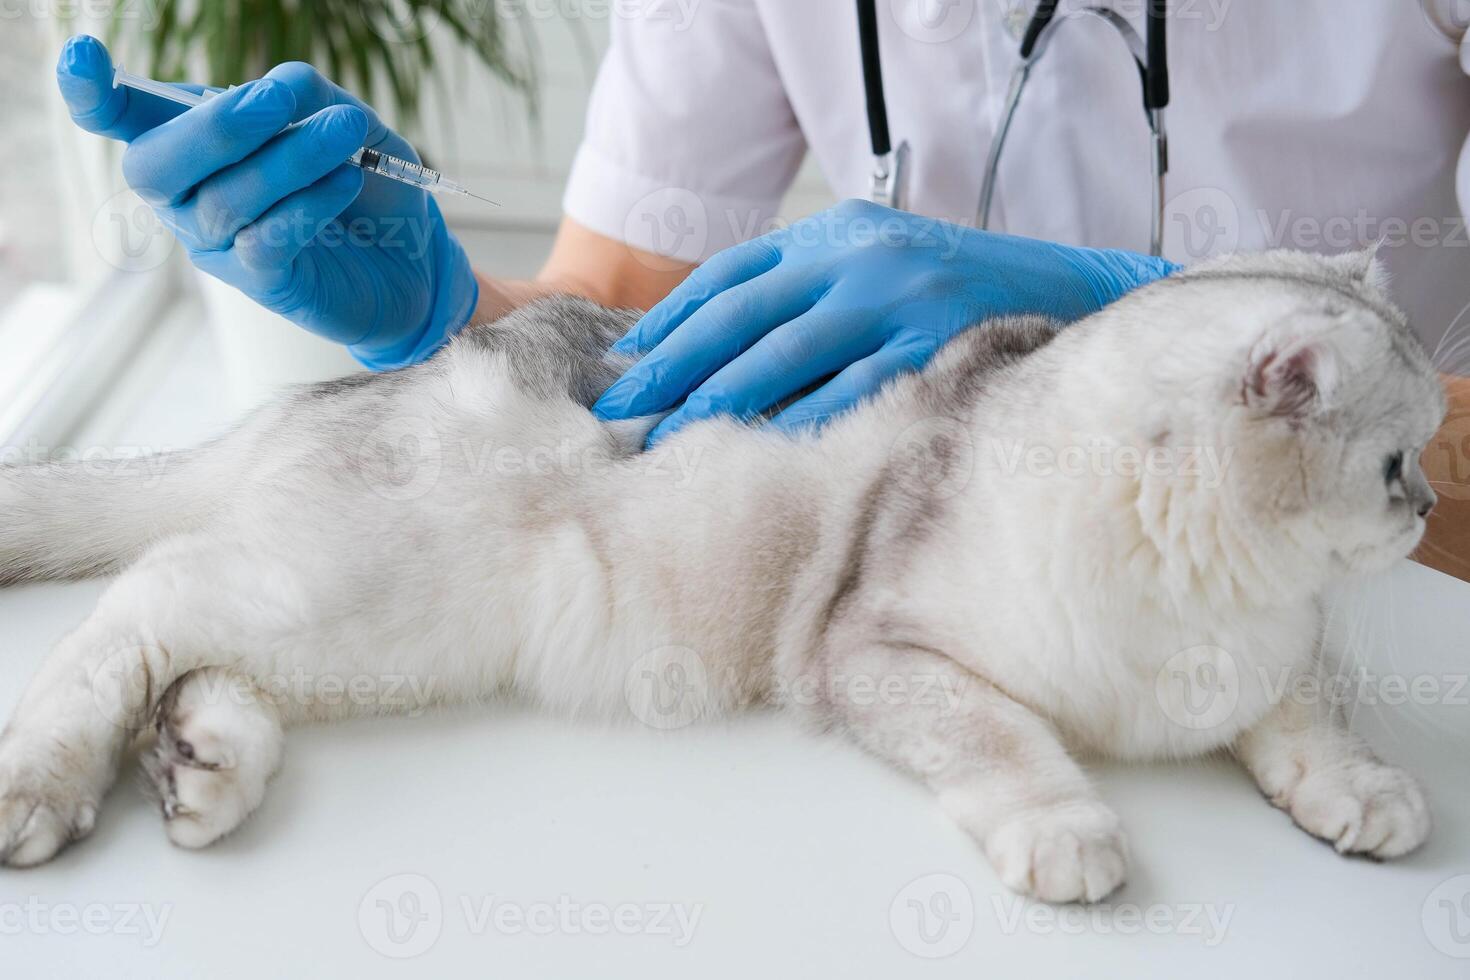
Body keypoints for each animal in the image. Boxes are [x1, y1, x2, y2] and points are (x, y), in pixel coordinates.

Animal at [0, 246, 1446, 905]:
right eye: (1393, 467)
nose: (1434, 505)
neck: (1202, 591)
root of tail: (357, 383)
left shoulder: (1276, 664)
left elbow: (1316, 724)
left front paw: (1368, 798)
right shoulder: (880, 651)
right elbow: (1007, 742)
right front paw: (1071, 832)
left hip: (367, 641)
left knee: (194, 658)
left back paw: (200, 766)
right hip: (343, 588)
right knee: (135, 608)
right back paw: (45, 782)